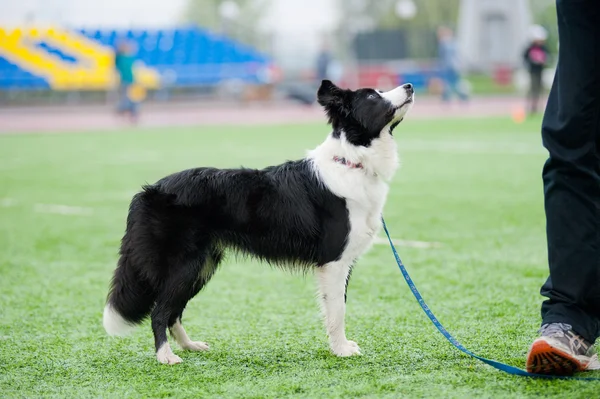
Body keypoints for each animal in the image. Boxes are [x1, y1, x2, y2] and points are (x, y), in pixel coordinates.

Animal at [103, 79, 412, 364]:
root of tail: (148, 190)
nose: (409, 85)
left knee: (173, 311)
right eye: (372, 96)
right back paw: (166, 357)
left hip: (203, 265)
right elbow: (338, 311)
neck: (352, 160)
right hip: (185, 263)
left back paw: (189, 346)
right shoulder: (334, 261)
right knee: (159, 311)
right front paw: (341, 350)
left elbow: (337, 307)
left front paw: (341, 347)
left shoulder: (343, 263)